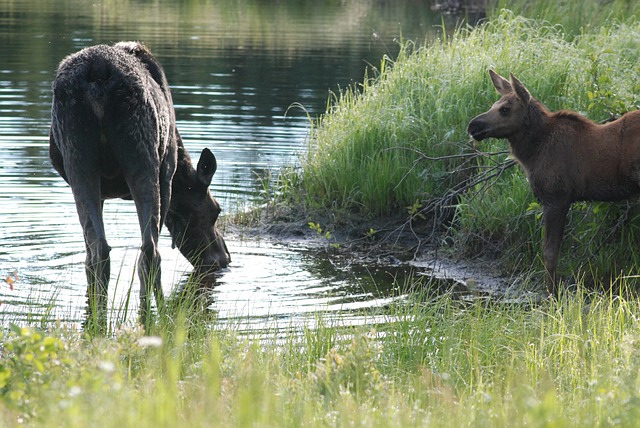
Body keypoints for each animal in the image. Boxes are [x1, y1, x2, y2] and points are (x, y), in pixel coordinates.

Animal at [50, 41, 230, 328]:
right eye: (216, 210)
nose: (224, 258)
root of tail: (99, 73)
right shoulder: (167, 174)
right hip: (140, 161)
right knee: (147, 250)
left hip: (83, 161)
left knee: (103, 250)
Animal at [464, 71, 640, 298]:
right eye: (494, 104)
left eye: (505, 109)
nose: (473, 126)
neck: (532, 152)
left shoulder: (556, 198)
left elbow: (549, 254)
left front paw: (551, 295)